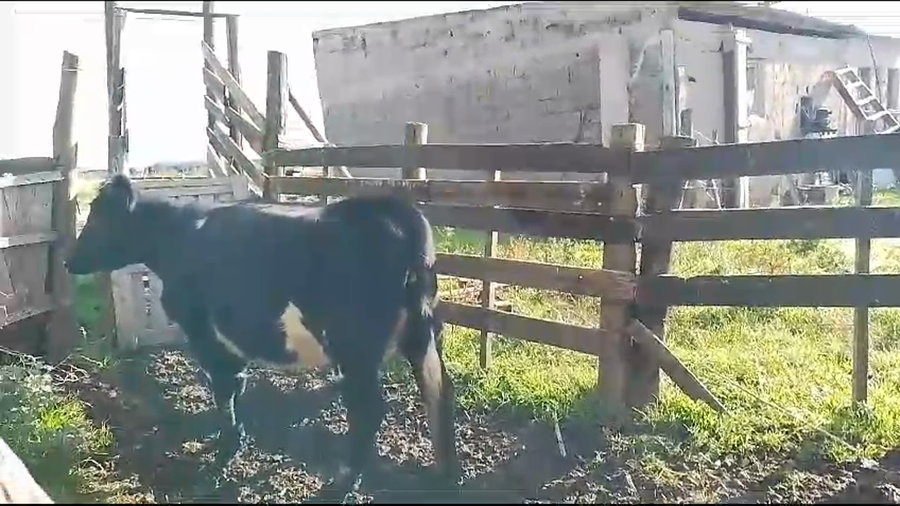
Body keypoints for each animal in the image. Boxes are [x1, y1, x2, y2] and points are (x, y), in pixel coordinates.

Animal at [65, 174, 460, 501]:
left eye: (99, 218)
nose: (69, 262)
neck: (178, 237)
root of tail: (392, 211)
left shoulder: (203, 332)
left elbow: (223, 391)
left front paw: (225, 452)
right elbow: (235, 386)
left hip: (356, 351)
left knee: (369, 412)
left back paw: (343, 487)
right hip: (422, 335)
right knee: (440, 392)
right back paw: (446, 478)